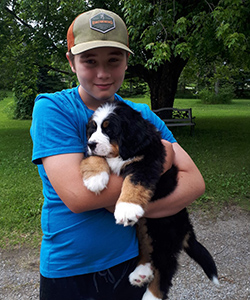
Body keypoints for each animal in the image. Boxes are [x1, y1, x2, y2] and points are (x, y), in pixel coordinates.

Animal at [80, 101, 219, 300]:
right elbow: (95, 158)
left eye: (109, 130)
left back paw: (151, 295)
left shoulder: (146, 163)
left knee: (165, 268)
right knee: (147, 249)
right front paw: (95, 179)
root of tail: (187, 228)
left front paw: (127, 207)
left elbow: (134, 182)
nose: (90, 144)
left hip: (165, 233)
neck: (122, 153)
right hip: (146, 226)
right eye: (93, 129)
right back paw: (141, 273)